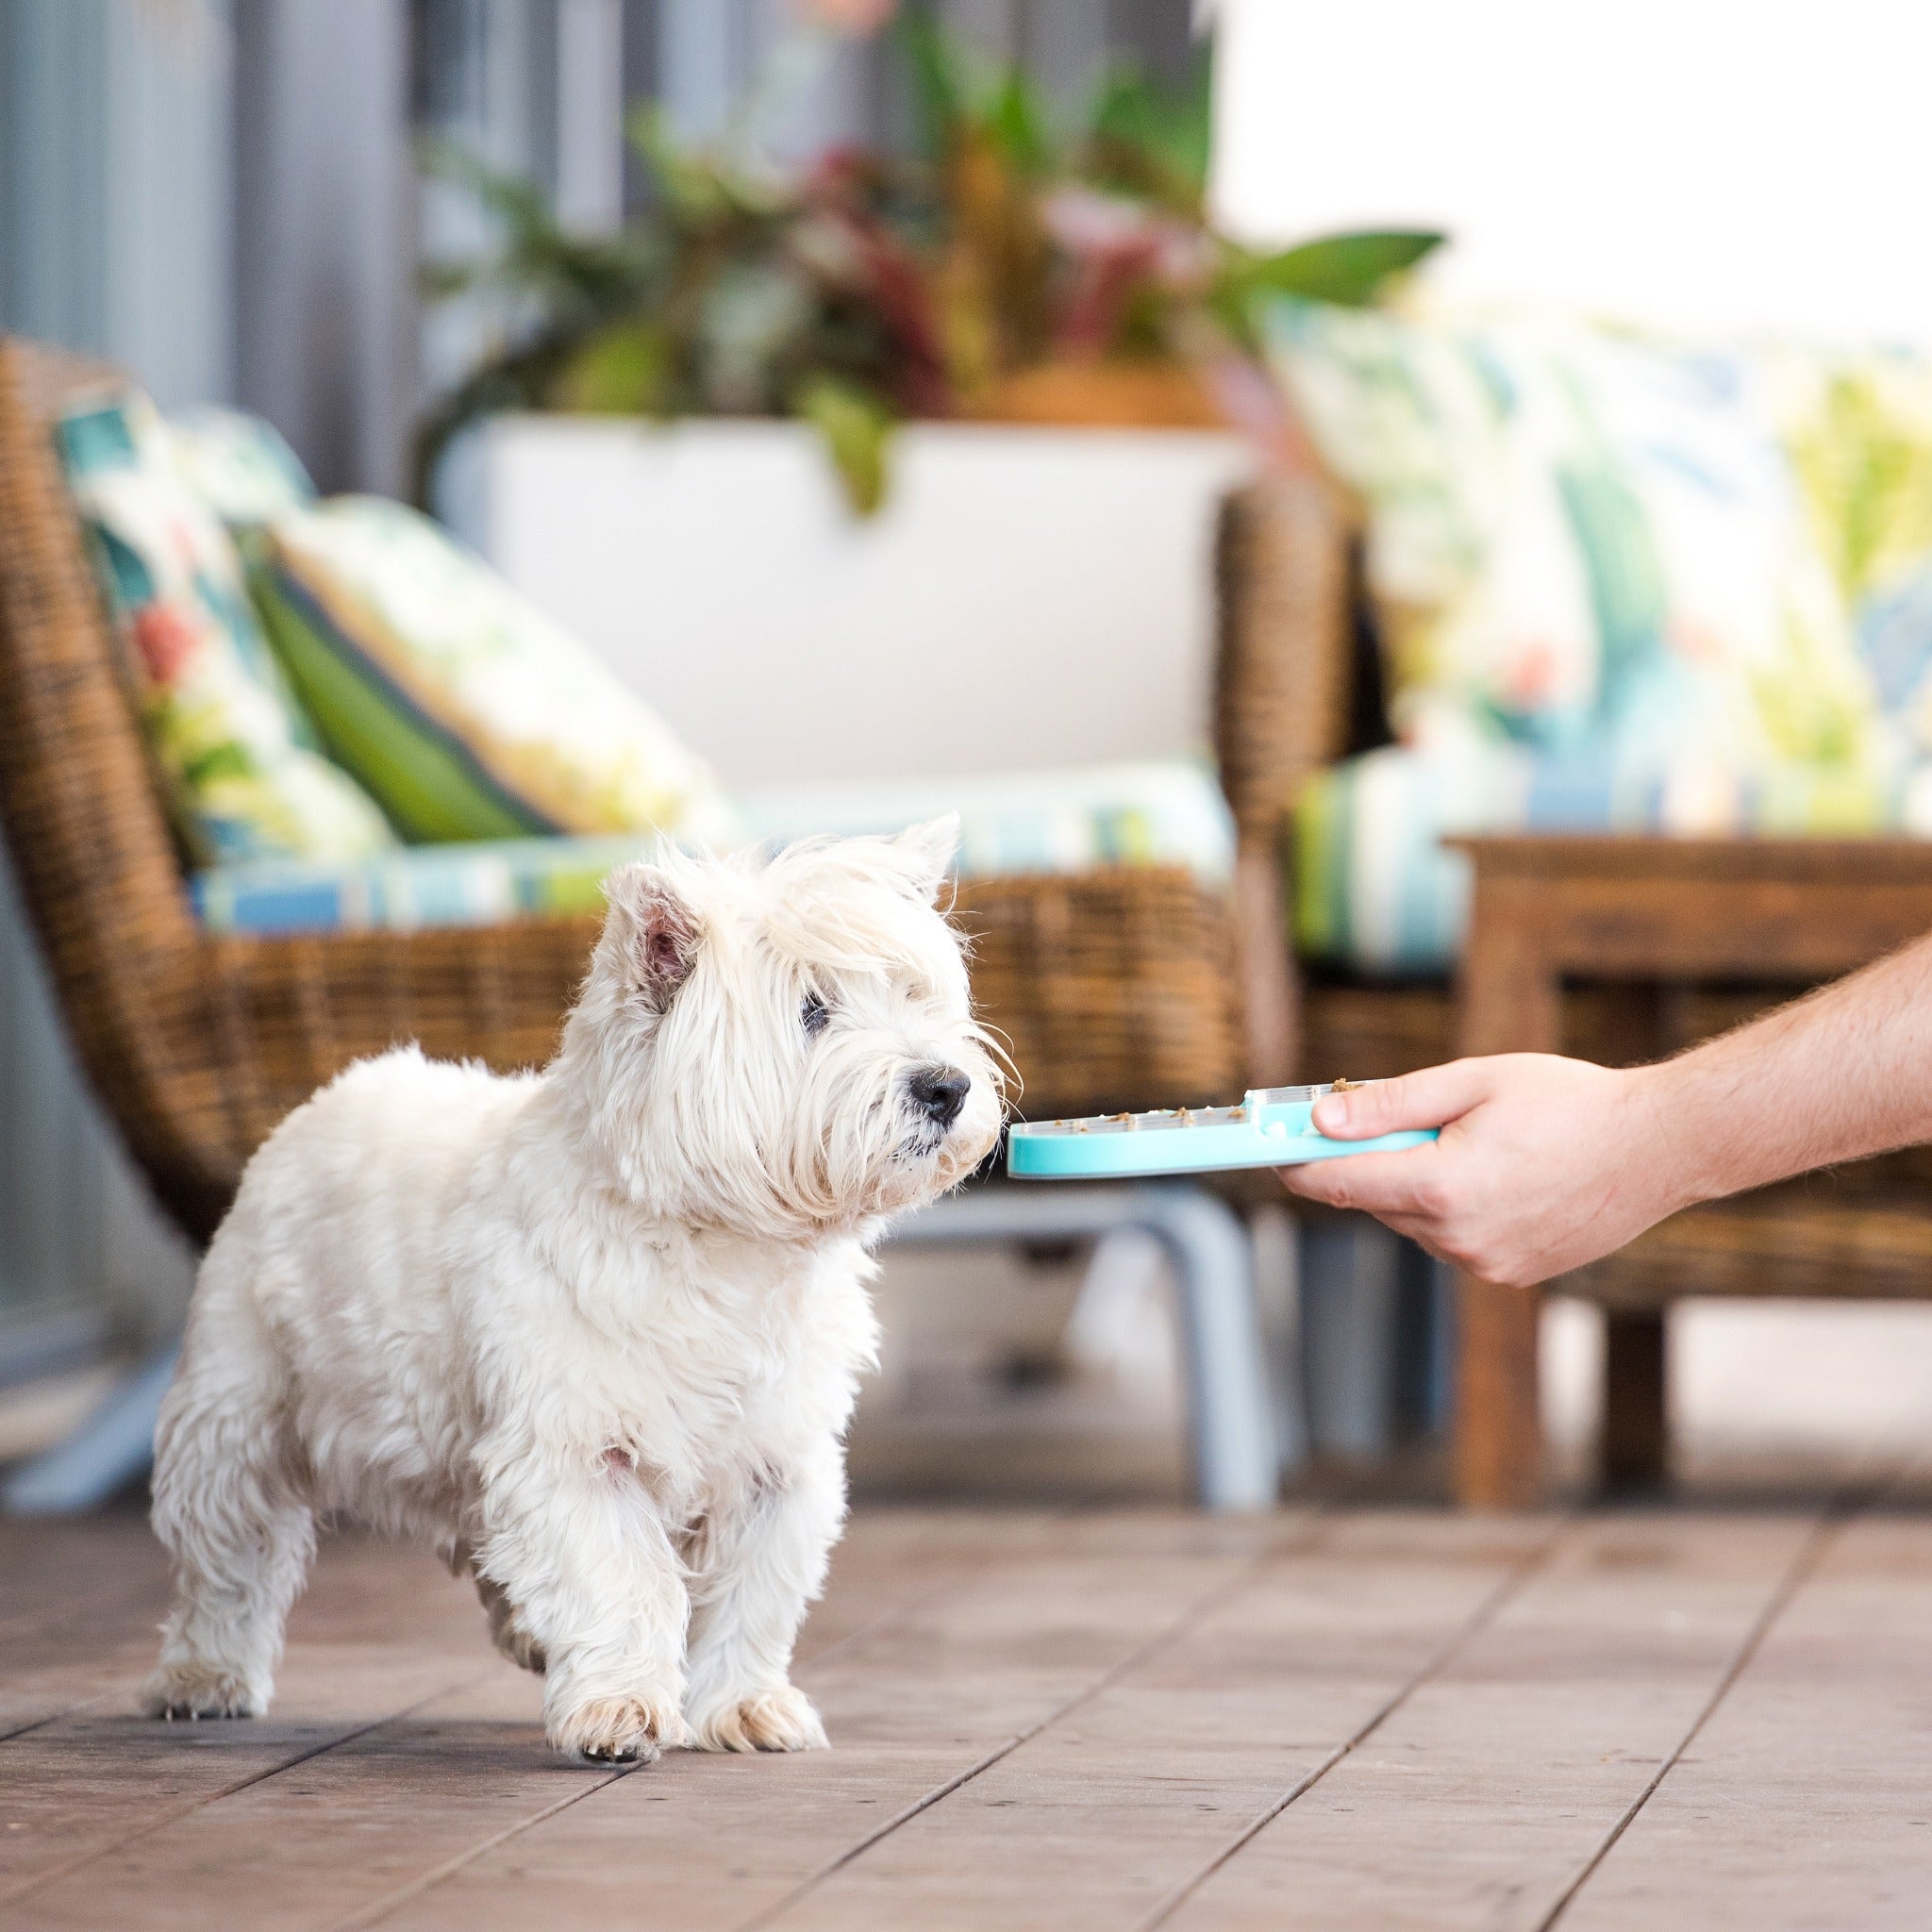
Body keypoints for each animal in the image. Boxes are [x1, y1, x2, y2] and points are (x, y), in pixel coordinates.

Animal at [142, 823, 1004, 1761]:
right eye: (813, 1012)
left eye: (912, 994)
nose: (946, 1087)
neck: (721, 1252)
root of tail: (329, 1095)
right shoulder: (579, 1447)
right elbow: (621, 1581)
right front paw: (619, 1712)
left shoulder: (774, 1462)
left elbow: (752, 1594)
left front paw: (743, 1705)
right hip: (241, 1403)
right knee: (228, 1545)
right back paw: (203, 1676)